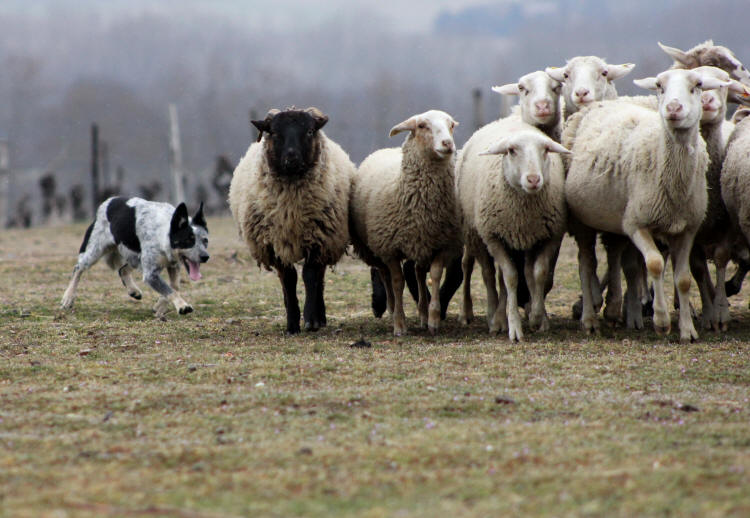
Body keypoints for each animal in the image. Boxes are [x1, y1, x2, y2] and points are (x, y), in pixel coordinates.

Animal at [229, 109, 356, 336]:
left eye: (310, 131)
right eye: (273, 132)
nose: (291, 156)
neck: (291, 208)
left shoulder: (317, 239)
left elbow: (310, 276)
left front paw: (311, 320)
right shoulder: (275, 243)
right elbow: (288, 280)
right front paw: (292, 323)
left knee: (320, 278)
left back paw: (320, 316)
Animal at [352, 109, 464, 338]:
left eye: (451, 125)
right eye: (422, 126)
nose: (448, 143)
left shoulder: (443, 244)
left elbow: (435, 275)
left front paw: (433, 320)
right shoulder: (390, 249)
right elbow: (397, 281)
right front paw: (399, 324)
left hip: (421, 244)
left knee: (419, 273)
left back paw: (422, 314)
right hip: (377, 249)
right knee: (385, 275)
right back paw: (392, 309)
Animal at [458, 118, 568, 342]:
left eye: (545, 149)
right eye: (511, 150)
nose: (533, 179)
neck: (523, 213)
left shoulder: (549, 236)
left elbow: (538, 272)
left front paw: (537, 317)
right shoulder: (495, 238)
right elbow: (510, 277)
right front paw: (514, 327)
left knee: (520, 273)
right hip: (476, 234)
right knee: (488, 274)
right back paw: (493, 318)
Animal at [568, 70, 732, 346]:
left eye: (697, 85)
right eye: (659, 86)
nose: (673, 108)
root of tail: (602, 104)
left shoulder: (687, 229)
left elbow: (683, 279)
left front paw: (687, 331)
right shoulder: (636, 223)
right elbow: (654, 264)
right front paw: (662, 322)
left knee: (616, 257)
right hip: (582, 220)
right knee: (586, 264)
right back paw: (590, 319)